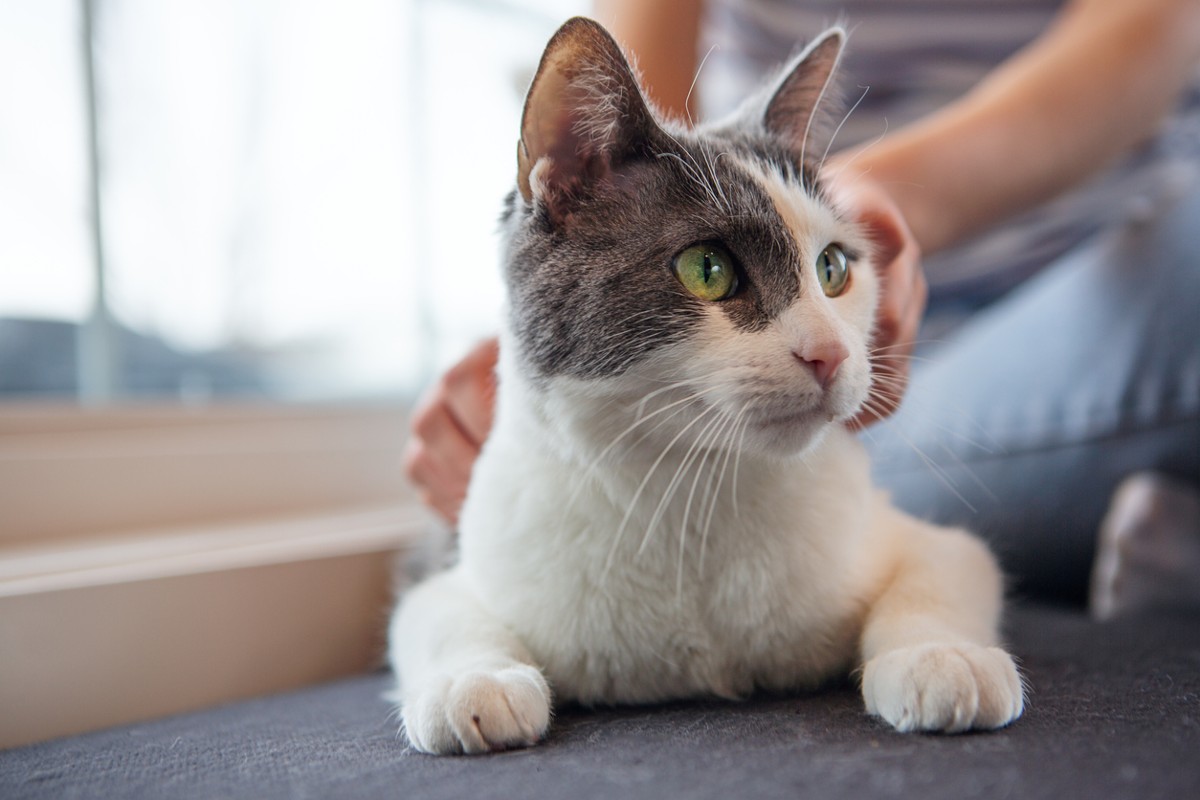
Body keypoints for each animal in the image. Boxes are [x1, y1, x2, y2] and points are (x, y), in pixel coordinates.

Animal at [388, 18, 1027, 758]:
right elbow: (437, 615)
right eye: (707, 268)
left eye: (833, 268)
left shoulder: (921, 540)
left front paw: (942, 658)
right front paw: (475, 683)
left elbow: (939, 574)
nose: (831, 353)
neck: (694, 496)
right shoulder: (457, 561)